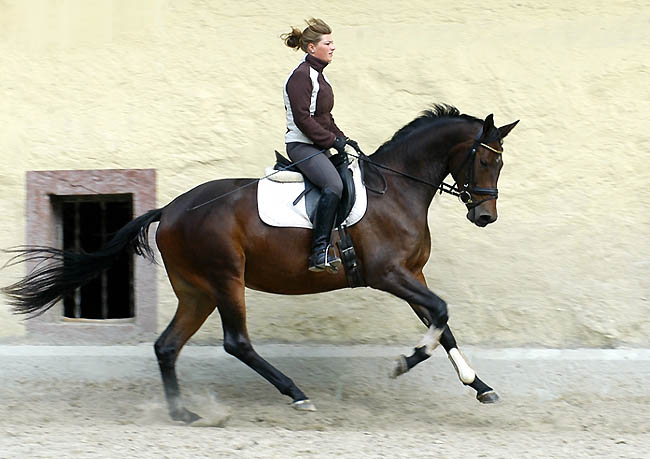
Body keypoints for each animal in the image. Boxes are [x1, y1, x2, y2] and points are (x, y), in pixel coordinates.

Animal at [0, 103, 516, 424]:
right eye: (484, 161)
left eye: (500, 163)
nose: (485, 216)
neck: (398, 188)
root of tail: (170, 209)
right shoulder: (389, 275)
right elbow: (442, 314)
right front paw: (405, 363)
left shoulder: (412, 274)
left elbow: (442, 324)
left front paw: (479, 385)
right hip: (225, 278)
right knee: (237, 342)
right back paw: (297, 395)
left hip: (196, 290)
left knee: (167, 346)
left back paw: (183, 413)